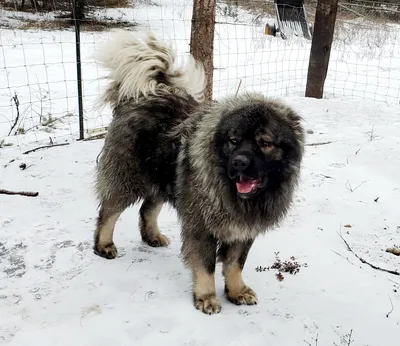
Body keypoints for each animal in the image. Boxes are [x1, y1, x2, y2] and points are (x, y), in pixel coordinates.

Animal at [93, 29, 304, 314]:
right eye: (234, 141)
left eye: (265, 143)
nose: (239, 162)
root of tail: (143, 94)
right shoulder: (202, 226)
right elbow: (206, 266)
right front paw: (206, 297)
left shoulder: (242, 230)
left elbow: (235, 264)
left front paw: (236, 291)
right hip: (127, 177)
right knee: (108, 212)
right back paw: (103, 245)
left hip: (166, 177)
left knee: (147, 209)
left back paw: (152, 237)